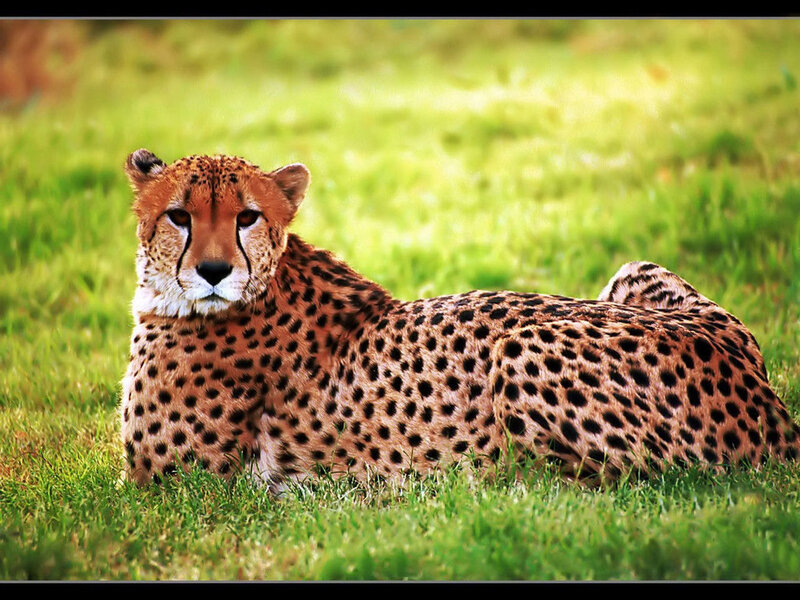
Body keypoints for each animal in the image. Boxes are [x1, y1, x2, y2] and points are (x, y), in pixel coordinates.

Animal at [119, 148, 800, 491]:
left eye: (248, 216)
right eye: (178, 215)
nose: (212, 271)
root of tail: (769, 407)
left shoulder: (174, 487)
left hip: (522, 345)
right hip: (635, 272)